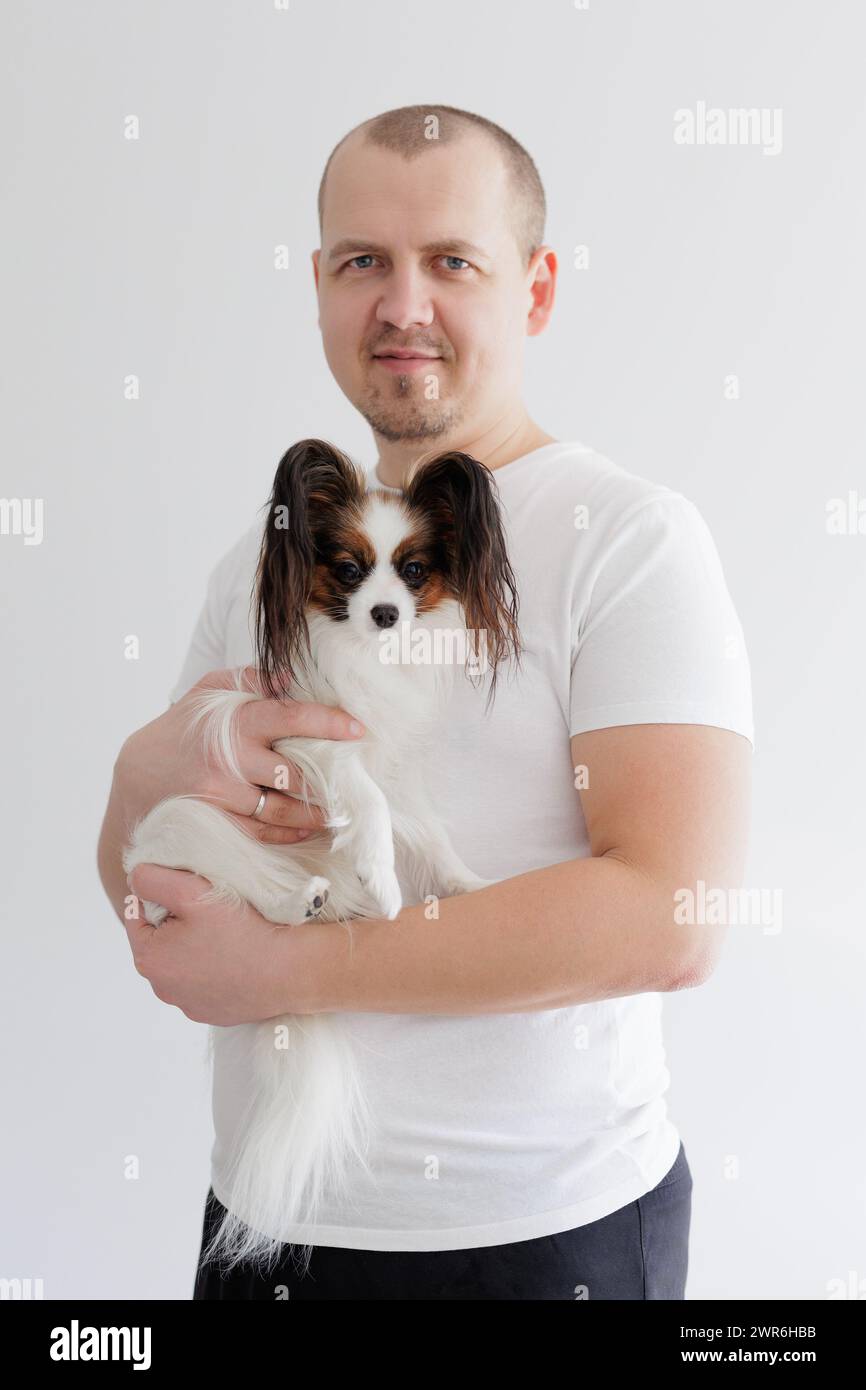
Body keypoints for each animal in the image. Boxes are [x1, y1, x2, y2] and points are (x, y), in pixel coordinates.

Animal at [123, 439, 522, 1273]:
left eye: (413, 570)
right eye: (347, 568)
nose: (385, 613)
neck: (362, 659)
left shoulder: (399, 764)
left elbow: (427, 828)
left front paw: (463, 882)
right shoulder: (303, 737)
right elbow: (361, 795)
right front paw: (380, 866)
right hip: (185, 826)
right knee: (247, 888)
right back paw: (300, 897)